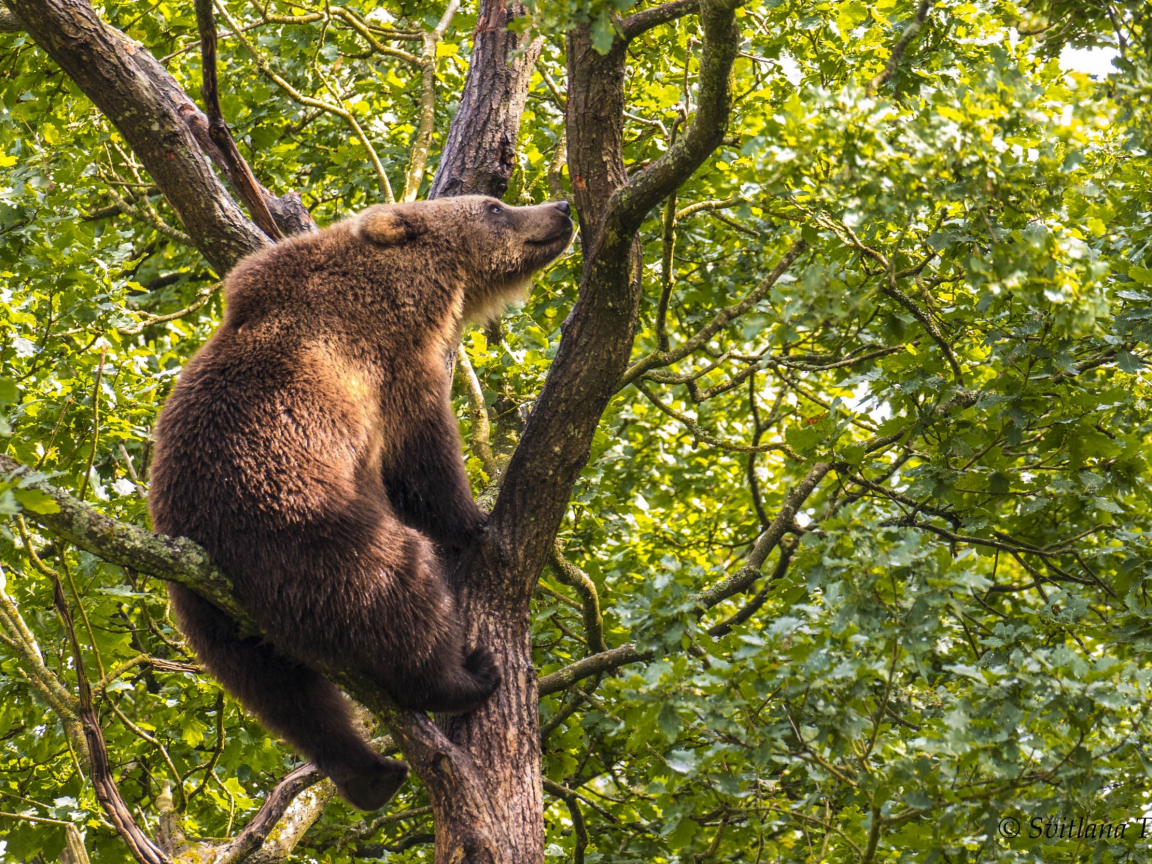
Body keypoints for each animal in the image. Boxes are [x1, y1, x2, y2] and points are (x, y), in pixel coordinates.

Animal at [148, 195, 571, 811]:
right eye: (494, 207)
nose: (561, 208)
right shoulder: (394, 368)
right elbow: (422, 461)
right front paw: (473, 522)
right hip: (316, 529)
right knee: (398, 593)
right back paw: (466, 676)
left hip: (206, 611)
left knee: (281, 692)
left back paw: (370, 774)